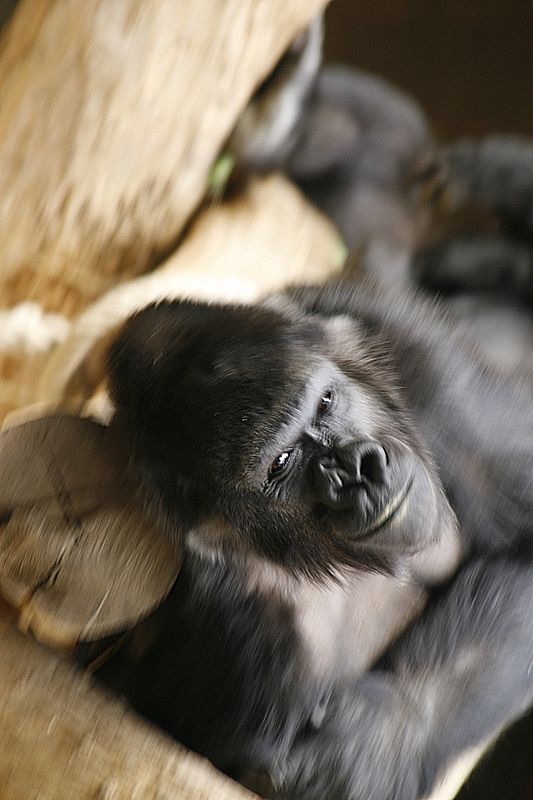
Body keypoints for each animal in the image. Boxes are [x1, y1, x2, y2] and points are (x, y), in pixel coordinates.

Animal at [92, 274, 533, 800]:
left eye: (325, 402)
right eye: (281, 462)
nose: (361, 469)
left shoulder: (425, 366)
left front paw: (383, 737)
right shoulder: (226, 600)